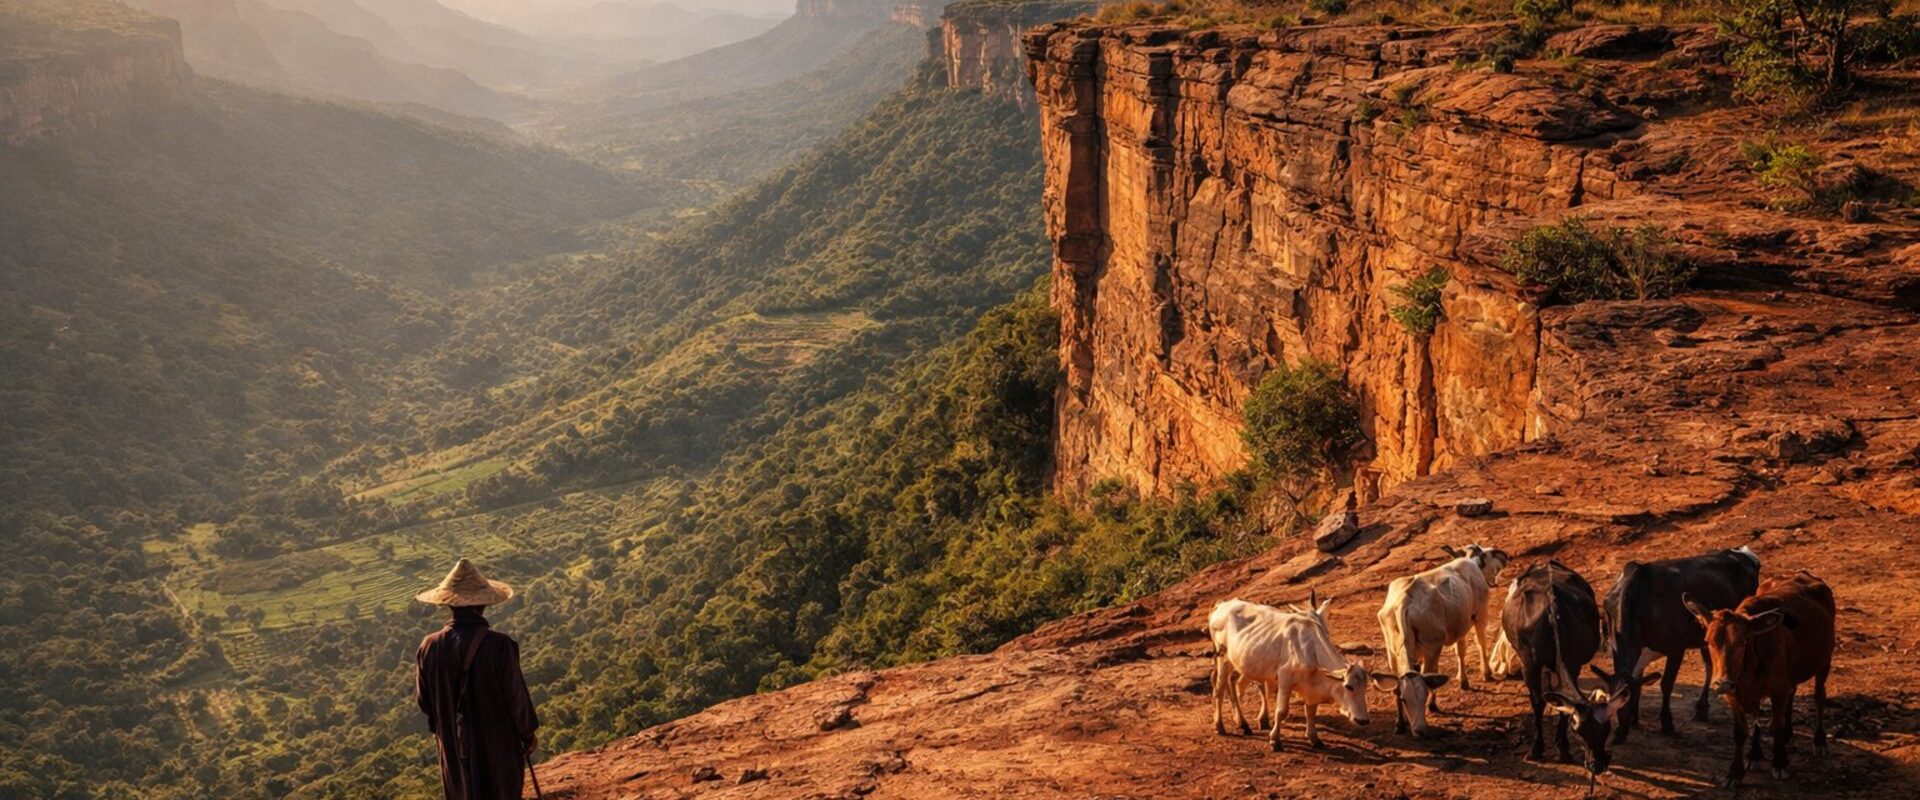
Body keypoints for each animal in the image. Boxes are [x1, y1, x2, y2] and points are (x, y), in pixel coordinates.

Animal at [1209, 594, 1380, 750]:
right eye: (1348, 686)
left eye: (1365, 688)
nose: (1363, 720)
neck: (1311, 651)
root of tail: (1221, 605)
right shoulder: (1285, 679)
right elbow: (1281, 711)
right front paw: (1275, 740)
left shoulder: (1310, 689)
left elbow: (1311, 710)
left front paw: (1314, 738)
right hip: (1223, 659)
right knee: (1219, 690)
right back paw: (1220, 726)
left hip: (1238, 663)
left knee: (1232, 684)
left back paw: (1243, 724)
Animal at [1376, 543, 1510, 736]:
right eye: (1490, 553)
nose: (1504, 556)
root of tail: (1404, 602)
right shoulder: (1477, 615)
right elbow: (1477, 644)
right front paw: (1485, 674)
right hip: (1432, 646)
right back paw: (1432, 706)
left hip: (1392, 650)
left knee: (1398, 681)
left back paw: (1401, 723)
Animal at [1501, 560, 1658, 773]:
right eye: (1577, 732)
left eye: (1607, 729)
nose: (1597, 765)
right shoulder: (1530, 665)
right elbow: (1538, 702)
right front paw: (1536, 749)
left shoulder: (1573, 663)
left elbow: (1561, 703)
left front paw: (1563, 749)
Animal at [1601, 546, 1762, 742]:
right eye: (1610, 699)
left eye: (1626, 698)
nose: (1618, 735)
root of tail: (1738, 551)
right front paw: (1634, 720)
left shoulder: (1676, 649)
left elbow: (1666, 684)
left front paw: (1667, 723)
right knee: (1709, 666)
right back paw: (1702, 709)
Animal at [1686, 571, 1835, 789]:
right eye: (1708, 641)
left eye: (1742, 642)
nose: (1722, 683)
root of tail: (1804, 574)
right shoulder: (1735, 694)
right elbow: (1741, 732)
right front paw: (1737, 770)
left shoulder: (1778, 690)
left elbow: (1775, 727)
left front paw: (1780, 762)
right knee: (1791, 694)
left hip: (1824, 661)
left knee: (1819, 696)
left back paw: (1819, 741)